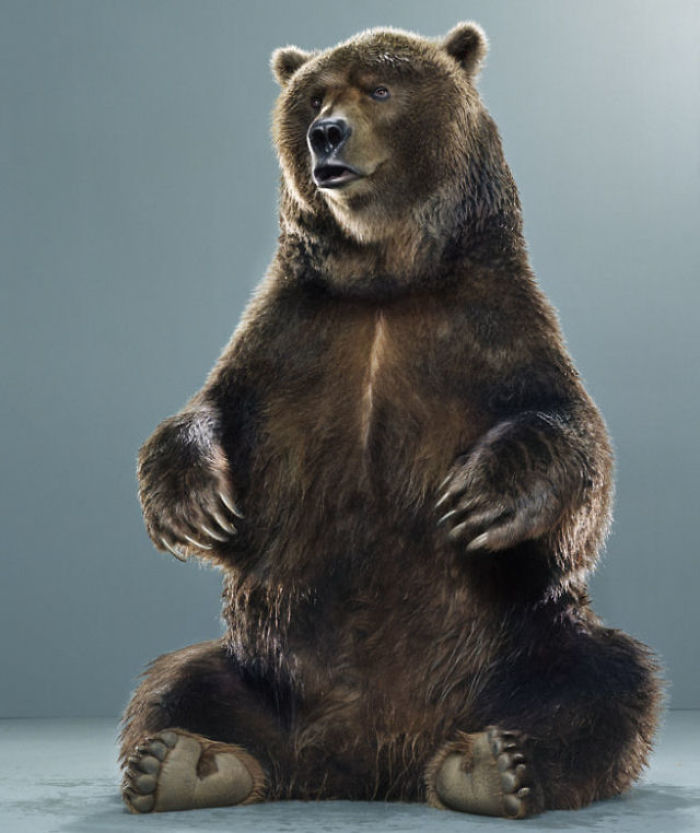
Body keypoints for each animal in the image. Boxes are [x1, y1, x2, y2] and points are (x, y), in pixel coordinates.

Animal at [119, 22, 663, 819]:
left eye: (379, 88)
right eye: (315, 94)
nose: (326, 133)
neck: (386, 280)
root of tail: (369, 764)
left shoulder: (494, 327)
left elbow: (573, 451)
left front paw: (481, 496)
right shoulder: (291, 335)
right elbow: (214, 414)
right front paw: (192, 505)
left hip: (524, 646)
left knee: (611, 677)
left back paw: (495, 766)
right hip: (264, 669)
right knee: (176, 680)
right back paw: (185, 763)